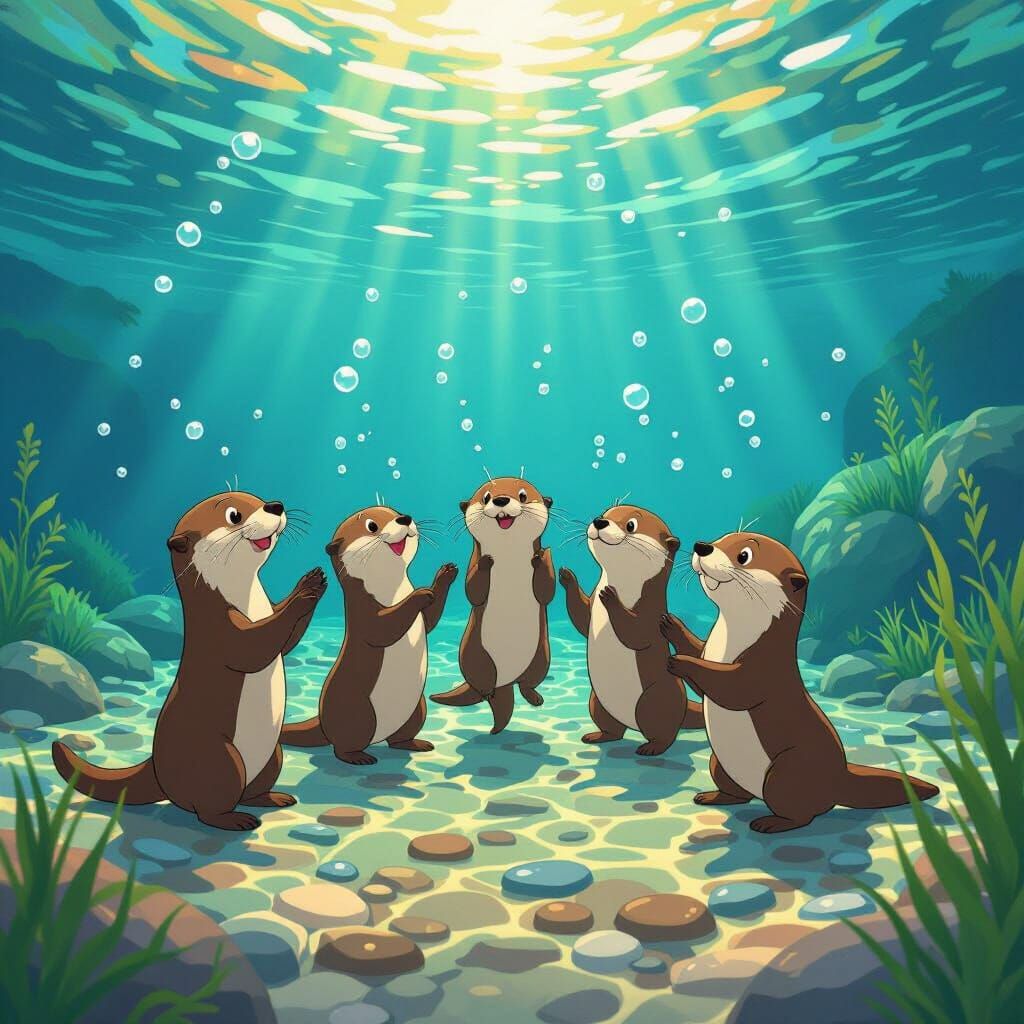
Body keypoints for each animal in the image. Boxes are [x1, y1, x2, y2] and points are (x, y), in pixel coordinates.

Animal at [52, 491, 326, 831]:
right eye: (234, 515)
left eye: (257, 498)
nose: (275, 505)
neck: (246, 600)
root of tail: (156, 767)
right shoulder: (221, 631)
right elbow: (256, 645)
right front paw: (305, 588)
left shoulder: (267, 611)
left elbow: (286, 642)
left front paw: (318, 581)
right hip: (220, 759)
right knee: (208, 804)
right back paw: (234, 819)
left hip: (272, 753)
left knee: (253, 787)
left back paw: (271, 798)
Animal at [282, 506, 457, 764]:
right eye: (372, 526)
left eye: (396, 511)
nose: (404, 518)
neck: (392, 590)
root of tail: (322, 720)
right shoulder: (364, 611)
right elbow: (382, 628)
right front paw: (420, 593)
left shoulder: (421, 619)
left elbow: (430, 620)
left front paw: (446, 574)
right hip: (359, 709)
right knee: (345, 744)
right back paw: (357, 757)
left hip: (417, 707)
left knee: (400, 737)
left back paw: (414, 743)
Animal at [431, 475, 555, 734]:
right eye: (486, 497)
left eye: (522, 495)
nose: (500, 500)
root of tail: (505, 681)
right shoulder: (472, 564)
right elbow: (473, 592)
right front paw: (487, 562)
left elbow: (546, 592)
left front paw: (540, 558)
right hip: (474, 654)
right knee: (485, 684)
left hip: (541, 656)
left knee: (527, 682)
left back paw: (534, 698)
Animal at [560, 504, 704, 755]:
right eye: (605, 514)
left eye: (631, 525)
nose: (599, 521)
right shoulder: (591, 607)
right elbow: (582, 618)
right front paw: (568, 576)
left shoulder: (649, 614)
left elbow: (636, 633)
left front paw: (611, 597)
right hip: (597, 700)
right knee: (612, 728)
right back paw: (598, 736)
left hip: (655, 698)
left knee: (663, 731)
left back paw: (652, 748)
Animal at [662, 531, 939, 833]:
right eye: (722, 538)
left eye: (744, 555)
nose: (702, 546)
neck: (729, 642)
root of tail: (839, 776)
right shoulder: (709, 649)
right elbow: (699, 665)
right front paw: (671, 624)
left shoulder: (763, 670)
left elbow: (730, 687)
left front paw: (679, 662)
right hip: (720, 761)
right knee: (737, 792)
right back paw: (713, 796)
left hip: (788, 770)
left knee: (801, 812)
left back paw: (771, 823)